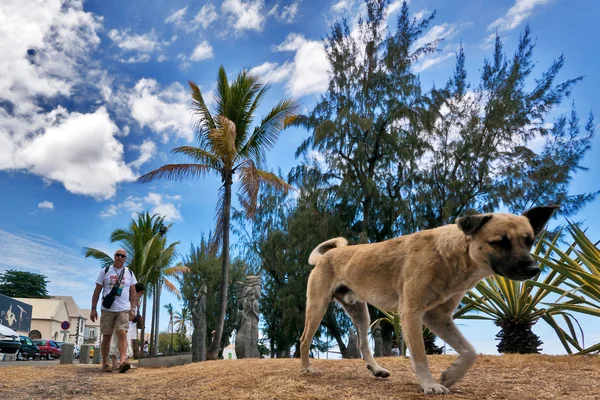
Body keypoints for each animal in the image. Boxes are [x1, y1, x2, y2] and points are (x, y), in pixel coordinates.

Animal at [300, 206, 556, 394]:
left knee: (363, 343)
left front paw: (451, 375)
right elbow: (421, 355)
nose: (534, 269)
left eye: (530, 241)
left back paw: (376, 369)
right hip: (317, 306)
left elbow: (470, 351)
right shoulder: (411, 312)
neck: (450, 256)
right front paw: (430, 385)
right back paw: (307, 369)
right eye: (500, 241)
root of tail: (327, 255)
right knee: (304, 339)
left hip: (360, 311)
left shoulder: (438, 317)